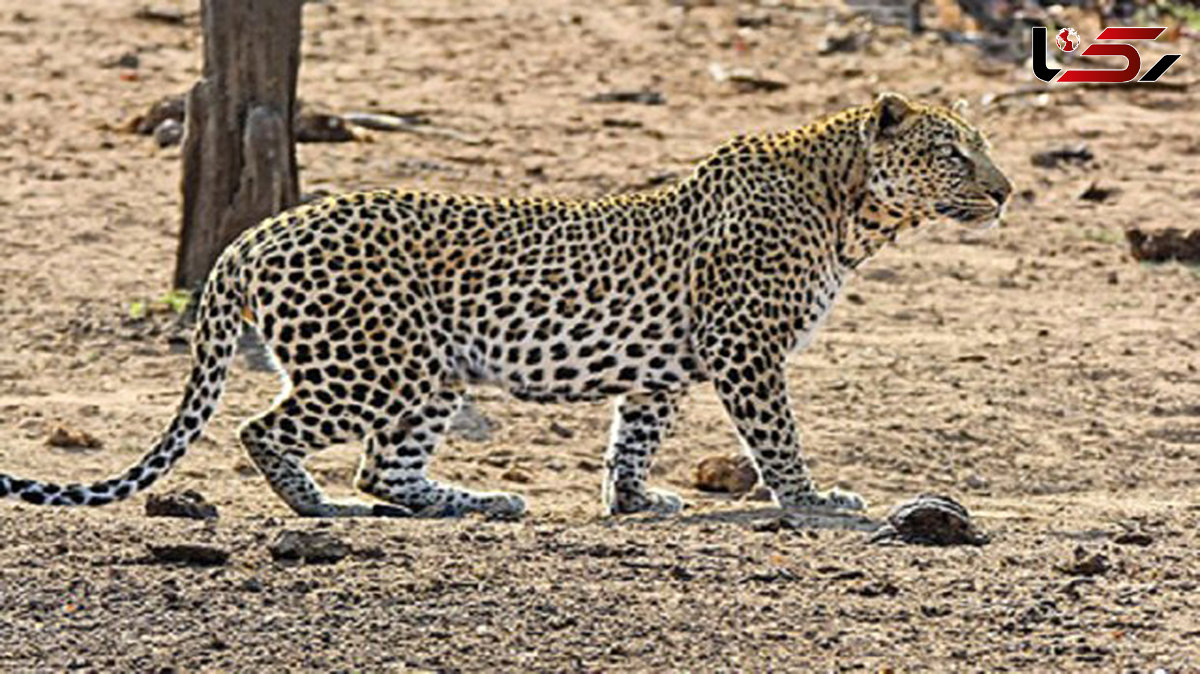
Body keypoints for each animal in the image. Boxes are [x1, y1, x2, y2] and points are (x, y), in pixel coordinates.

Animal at [2, 91, 1012, 515]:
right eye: (954, 153)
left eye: (981, 149)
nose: (1004, 192)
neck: (852, 211)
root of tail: (256, 235)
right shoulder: (746, 350)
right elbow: (779, 437)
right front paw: (813, 499)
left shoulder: (665, 369)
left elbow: (632, 436)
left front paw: (633, 502)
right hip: (377, 366)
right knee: (268, 432)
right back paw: (322, 508)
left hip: (430, 375)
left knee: (386, 468)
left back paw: (472, 500)